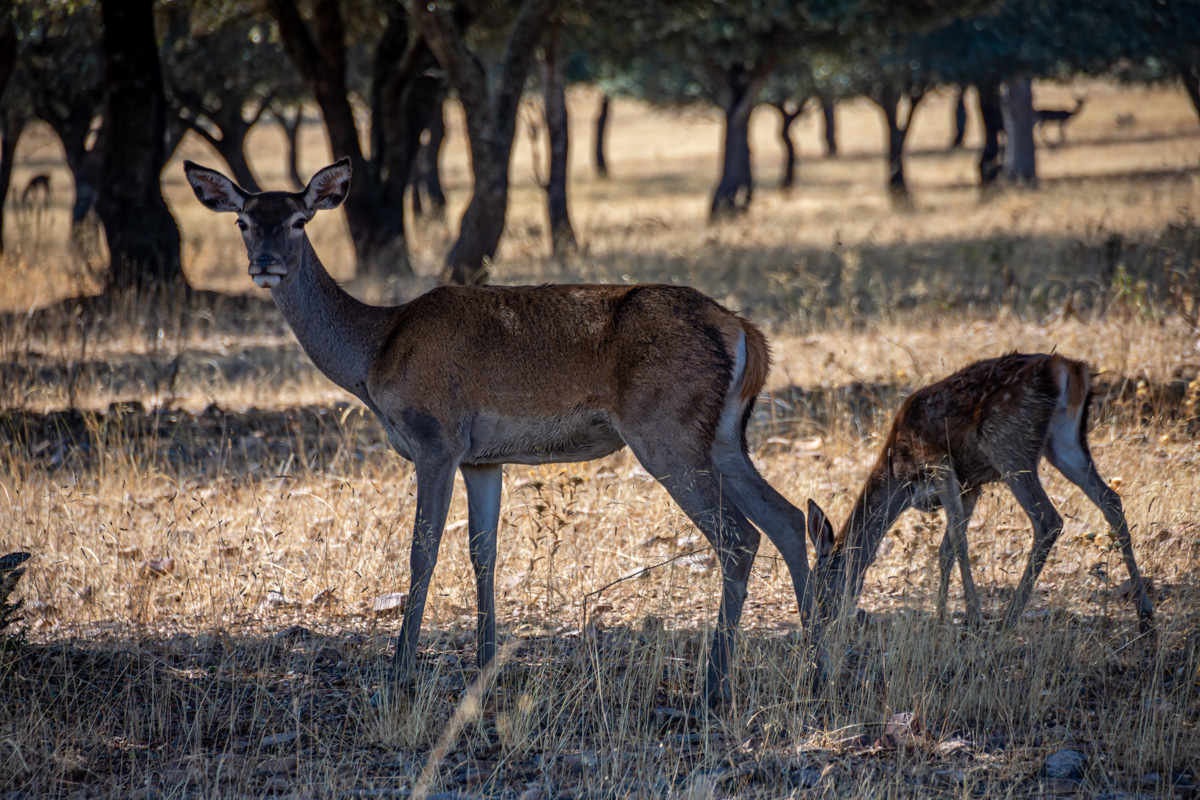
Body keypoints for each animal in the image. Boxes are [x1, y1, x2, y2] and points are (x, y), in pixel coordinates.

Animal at [182, 155, 820, 705]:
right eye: (244, 220)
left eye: (298, 219)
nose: (264, 263)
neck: (375, 355)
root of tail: (744, 332)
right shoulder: (482, 457)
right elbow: (482, 552)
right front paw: (486, 663)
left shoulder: (435, 438)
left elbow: (423, 550)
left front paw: (399, 670)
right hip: (723, 434)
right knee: (791, 518)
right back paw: (818, 657)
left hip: (668, 430)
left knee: (739, 537)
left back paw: (715, 684)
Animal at [806, 352, 1152, 633]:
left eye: (821, 584)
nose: (822, 620)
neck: (898, 475)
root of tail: (1067, 367)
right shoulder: (971, 484)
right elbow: (945, 549)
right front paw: (941, 616)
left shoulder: (940, 465)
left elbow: (959, 542)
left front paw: (972, 616)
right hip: (1066, 442)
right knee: (1111, 500)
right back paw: (1145, 616)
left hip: (1008, 442)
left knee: (1048, 518)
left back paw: (1009, 618)